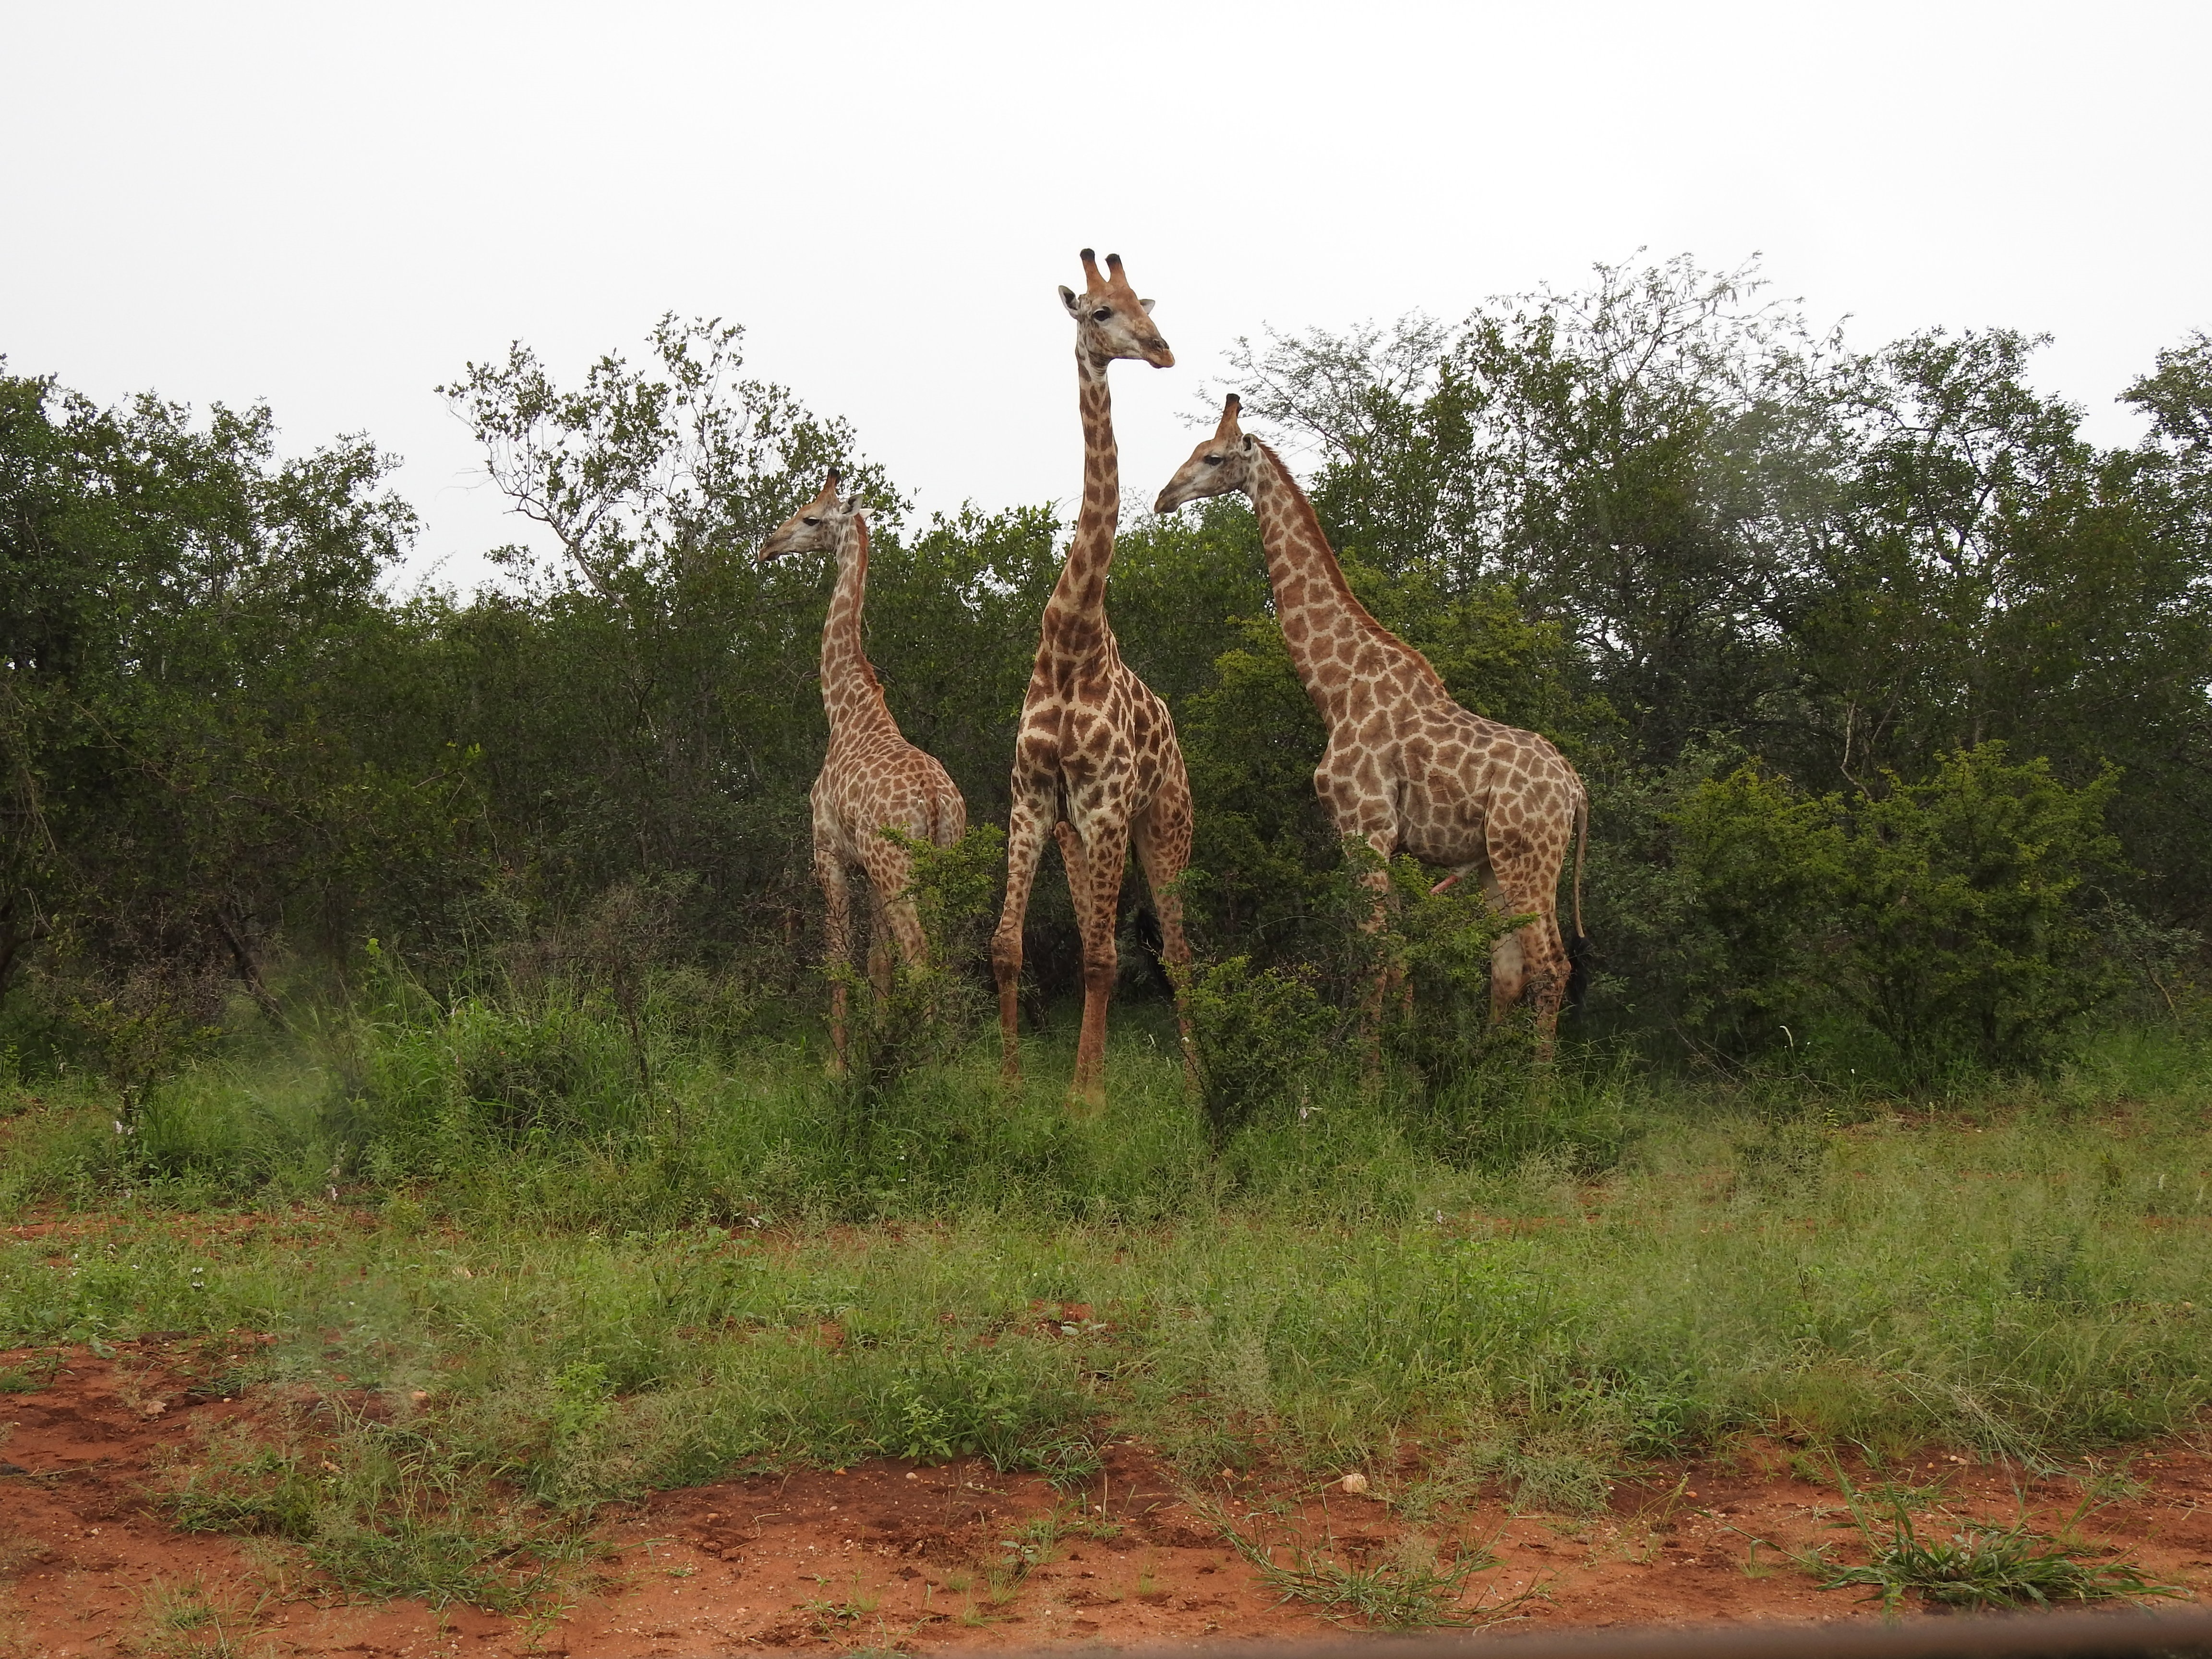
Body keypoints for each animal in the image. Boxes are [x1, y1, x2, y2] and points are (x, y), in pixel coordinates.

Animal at [758, 472, 967, 1073]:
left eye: (810, 517)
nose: (768, 546)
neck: (847, 711)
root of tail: (934, 800)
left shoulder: (829, 852)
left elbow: (839, 957)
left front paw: (838, 1064)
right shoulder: (869, 870)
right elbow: (877, 962)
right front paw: (879, 1042)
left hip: (897, 865)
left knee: (920, 953)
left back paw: (929, 1066)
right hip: (940, 859)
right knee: (944, 952)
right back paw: (950, 1058)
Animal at [1156, 395, 1589, 1050]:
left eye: (1213, 456)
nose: (1164, 496)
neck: (1335, 690)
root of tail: (1575, 789)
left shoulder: (1366, 828)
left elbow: (1372, 959)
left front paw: (1366, 1073)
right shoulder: (1383, 839)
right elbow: (1397, 957)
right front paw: (1399, 1059)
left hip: (1530, 856)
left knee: (1552, 967)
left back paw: (1535, 1082)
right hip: (1496, 863)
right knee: (1509, 968)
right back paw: (1490, 1070)